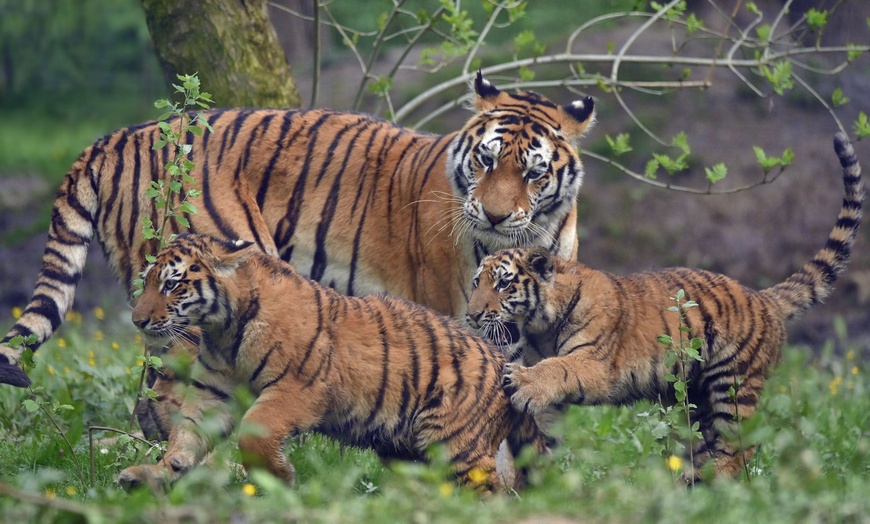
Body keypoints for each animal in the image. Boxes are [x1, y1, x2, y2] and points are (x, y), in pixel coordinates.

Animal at [0, 70, 600, 434]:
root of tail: (120, 137)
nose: (495, 215)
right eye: (485, 160)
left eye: (533, 172)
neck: (527, 238)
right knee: (172, 388)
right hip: (205, 288)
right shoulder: (458, 313)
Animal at [117, 233, 552, 492]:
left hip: (455, 445)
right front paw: (156, 473)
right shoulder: (212, 391)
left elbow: (254, 433)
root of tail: (503, 365)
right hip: (407, 450)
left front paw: (279, 480)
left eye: (171, 284)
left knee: (492, 493)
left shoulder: (298, 389)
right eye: (150, 281)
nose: (137, 320)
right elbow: (186, 435)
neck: (222, 329)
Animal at [466, 133, 860, 482]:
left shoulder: (594, 362)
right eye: (476, 283)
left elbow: (558, 368)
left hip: (733, 384)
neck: (539, 325)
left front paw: (521, 381)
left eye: (503, 284)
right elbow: (542, 427)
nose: (471, 315)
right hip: (695, 402)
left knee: (739, 448)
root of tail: (764, 297)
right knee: (706, 444)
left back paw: (715, 488)